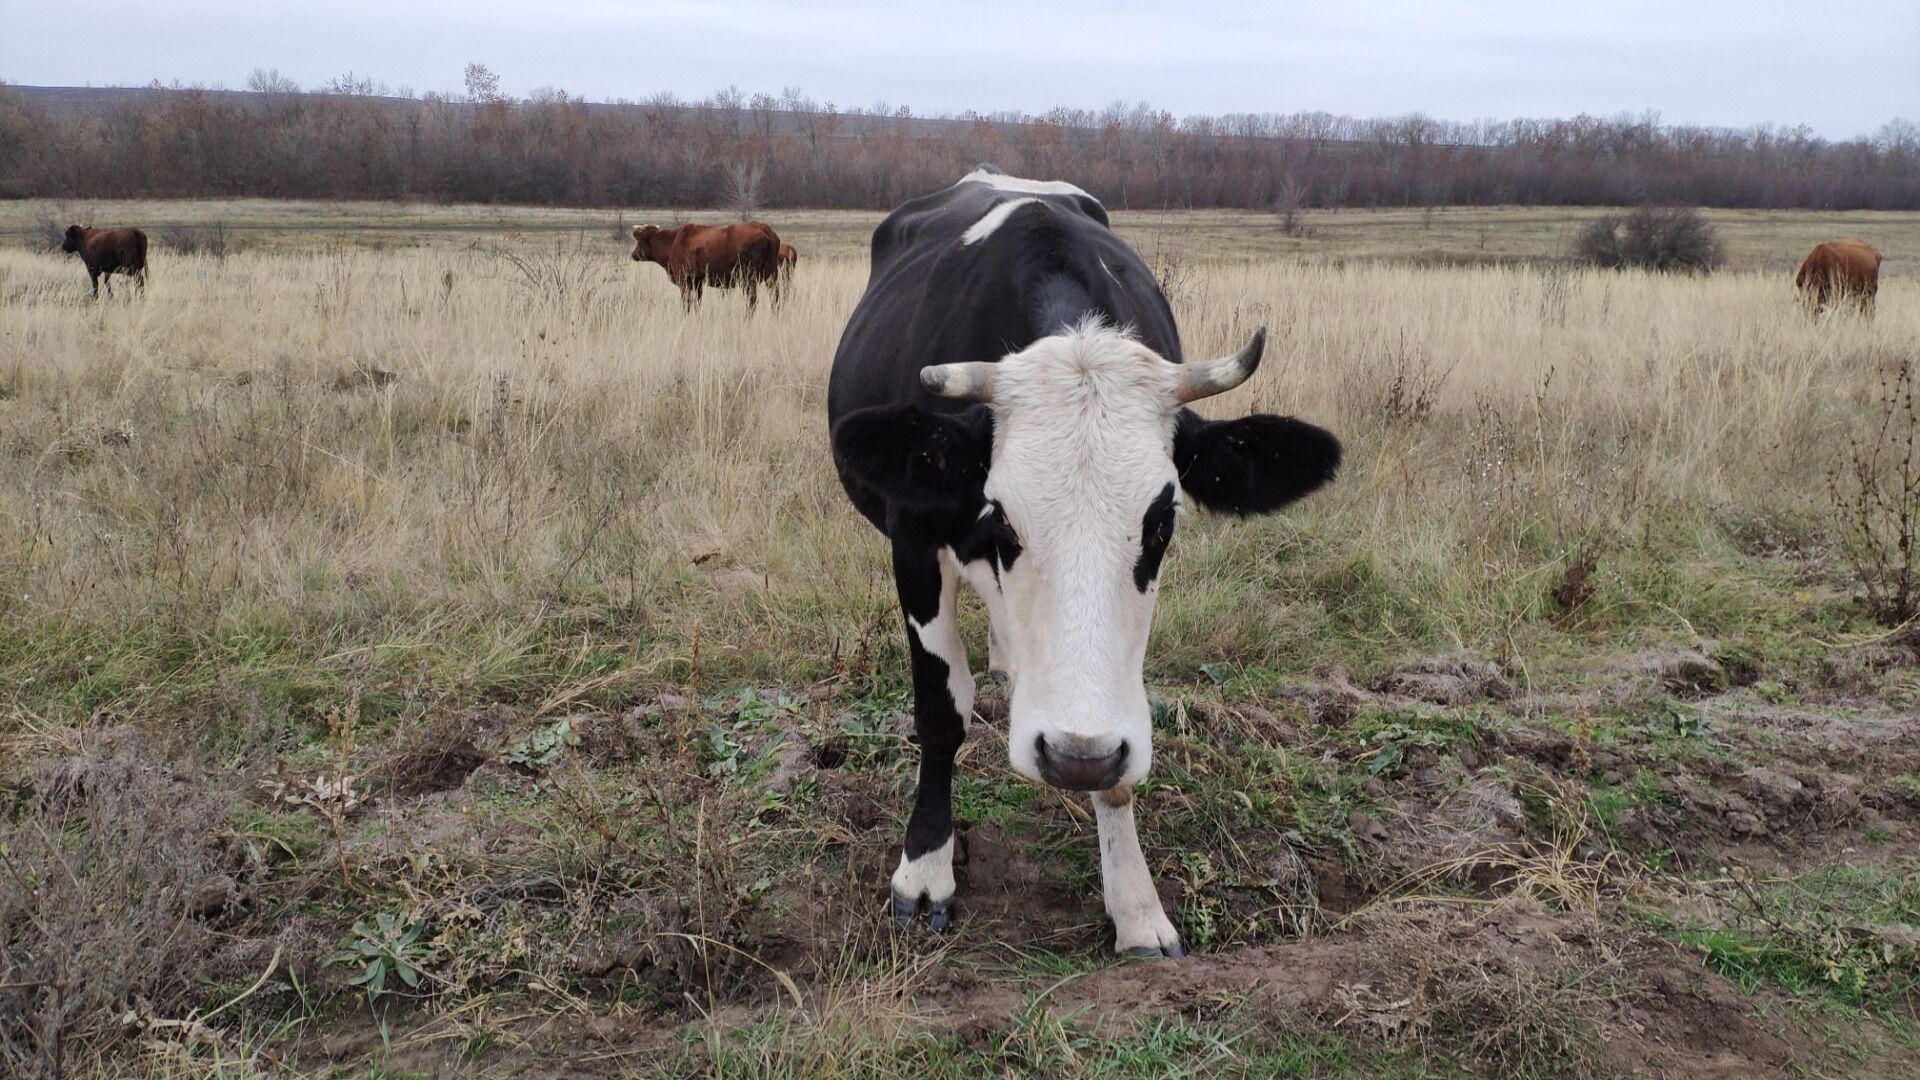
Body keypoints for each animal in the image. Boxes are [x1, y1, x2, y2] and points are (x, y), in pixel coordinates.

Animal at [629, 220, 779, 309]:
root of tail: (765, 228)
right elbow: (697, 303)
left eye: (639, 242)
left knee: (752, 301)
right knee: (775, 298)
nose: (633, 254)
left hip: (748, 278)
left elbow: (687, 303)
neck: (672, 242)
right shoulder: (697, 282)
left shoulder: (684, 280)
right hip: (771, 276)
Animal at [833, 166, 1344, 949]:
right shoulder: (913, 543)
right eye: (1000, 515)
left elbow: (1123, 750)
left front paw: (1135, 902)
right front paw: (925, 870)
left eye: (1162, 522)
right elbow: (941, 710)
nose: (1075, 757)